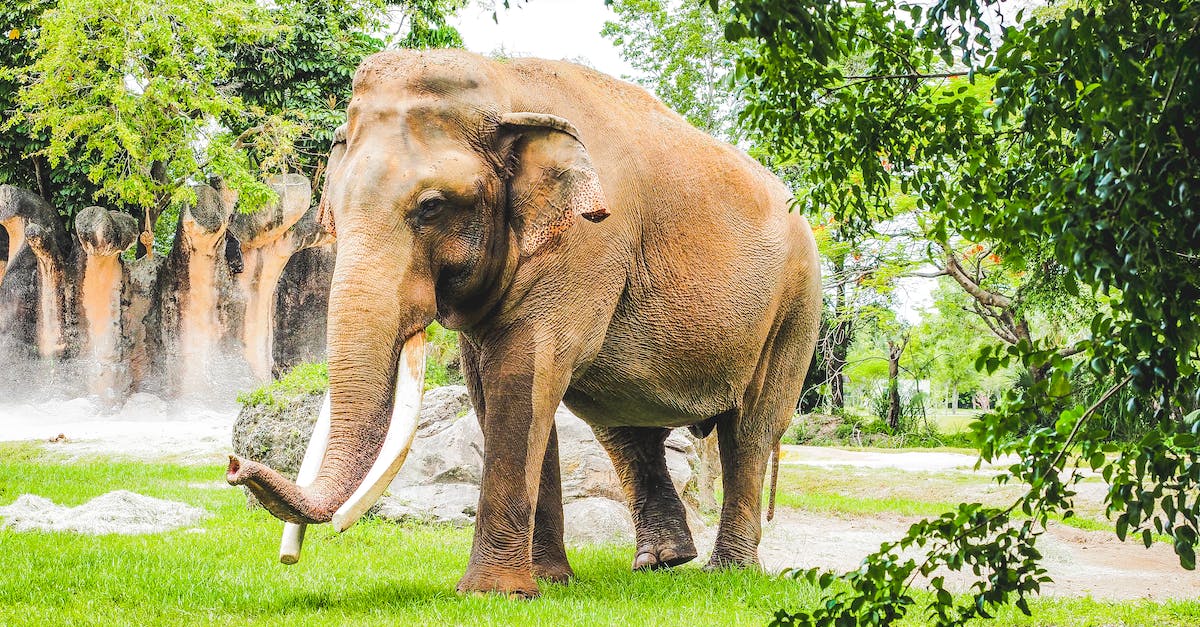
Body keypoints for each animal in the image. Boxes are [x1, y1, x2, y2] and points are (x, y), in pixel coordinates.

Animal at [223, 50, 825, 595]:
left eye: (432, 207)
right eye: (335, 209)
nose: (234, 466)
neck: (504, 86)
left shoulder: (587, 240)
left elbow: (522, 372)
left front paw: (494, 592)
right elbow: (493, 387)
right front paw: (550, 583)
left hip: (796, 306)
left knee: (749, 430)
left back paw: (728, 573)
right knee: (624, 429)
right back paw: (661, 563)